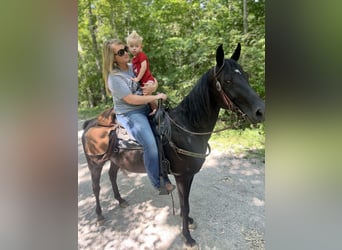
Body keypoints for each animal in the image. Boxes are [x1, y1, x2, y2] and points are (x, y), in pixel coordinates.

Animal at [82, 44, 264, 249]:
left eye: (246, 75)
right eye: (228, 80)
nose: (260, 111)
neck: (188, 128)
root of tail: (89, 123)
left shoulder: (188, 175)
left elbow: (186, 203)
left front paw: (189, 221)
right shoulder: (182, 176)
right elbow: (183, 204)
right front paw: (188, 237)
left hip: (115, 160)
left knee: (112, 176)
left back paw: (120, 201)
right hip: (94, 163)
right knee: (96, 187)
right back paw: (99, 215)